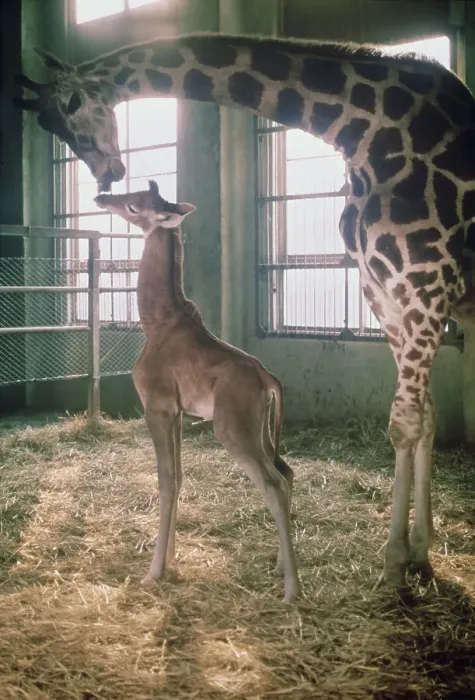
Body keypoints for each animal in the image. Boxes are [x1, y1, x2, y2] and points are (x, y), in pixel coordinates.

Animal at [94, 179, 300, 602]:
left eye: (135, 206)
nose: (102, 197)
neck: (156, 322)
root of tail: (268, 380)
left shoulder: (156, 407)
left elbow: (165, 481)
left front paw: (153, 572)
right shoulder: (177, 413)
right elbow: (178, 478)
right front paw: (170, 561)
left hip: (232, 430)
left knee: (273, 484)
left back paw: (292, 589)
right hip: (260, 430)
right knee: (286, 472)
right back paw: (279, 565)